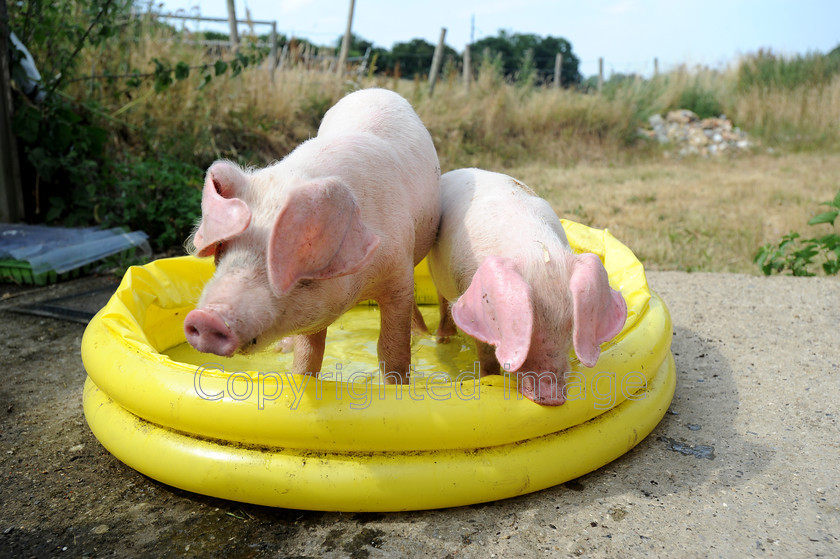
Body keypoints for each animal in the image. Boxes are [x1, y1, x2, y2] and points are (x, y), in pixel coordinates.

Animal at [185, 88, 442, 384]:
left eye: (296, 258)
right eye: (223, 248)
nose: (205, 318)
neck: (361, 284)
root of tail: (374, 89)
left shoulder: (399, 272)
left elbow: (391, 350)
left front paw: (396, 387)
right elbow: (308, 354)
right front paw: (300, 378)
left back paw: (426, 336)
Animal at [430, 168, 628, 404]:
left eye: (571, 326)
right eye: (527, 325)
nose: (552, 398)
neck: (534, 249)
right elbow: (486, 356)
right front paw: (488, 379)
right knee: (443, 303)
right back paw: (442, 340)